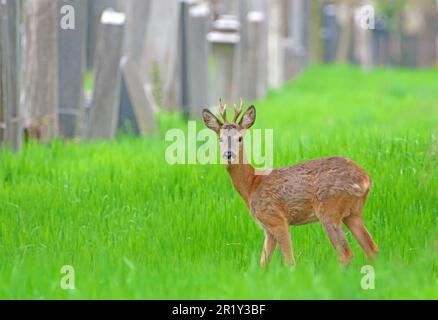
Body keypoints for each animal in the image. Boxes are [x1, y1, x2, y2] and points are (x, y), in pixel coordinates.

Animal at [202, 99, 376, 266]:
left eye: (239, 137)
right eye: (220, 139)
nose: (228, 154)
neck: (252, 185)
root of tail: (365, 179)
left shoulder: (276, 218)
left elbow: (289, 261)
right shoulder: (267, 229)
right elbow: (263, 263)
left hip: (329, 208)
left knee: (346, 254)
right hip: (353, 213)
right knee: (371, 249)